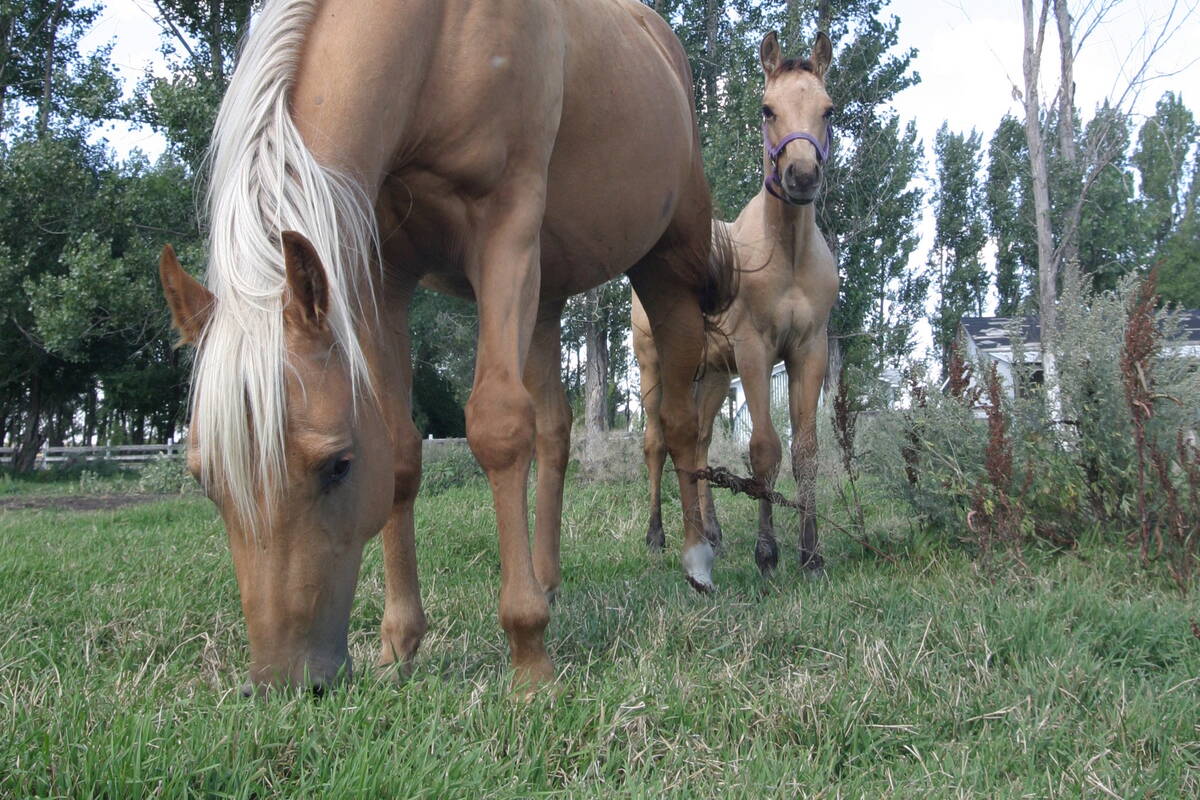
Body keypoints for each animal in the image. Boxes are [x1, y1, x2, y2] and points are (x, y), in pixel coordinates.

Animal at [157, 0, 735, 693]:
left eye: (337, 465)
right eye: (204, 478)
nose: (289, 684)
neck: (441, 40)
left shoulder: (505, 233)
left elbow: (499, 428)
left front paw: (528, 655)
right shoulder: (381, 274)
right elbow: (403, 450)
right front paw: (400, 642)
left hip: (664, 270)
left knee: (678, 421)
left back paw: (698, 556)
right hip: (545, 294)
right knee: (556, 429)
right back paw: (547, 577)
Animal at [633, 31, 838, 579]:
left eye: (828, 109)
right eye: (767, 109)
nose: (802, 176)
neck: (787, 253)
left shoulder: (809, 350)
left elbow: (806, 452)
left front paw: (812, 554)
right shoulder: (755, 351)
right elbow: (764, 448)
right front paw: (767, 554)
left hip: (713, 374)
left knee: (700, 440)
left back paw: (711, 533)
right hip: (653, 363)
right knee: (656, 442)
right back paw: (657, 535)